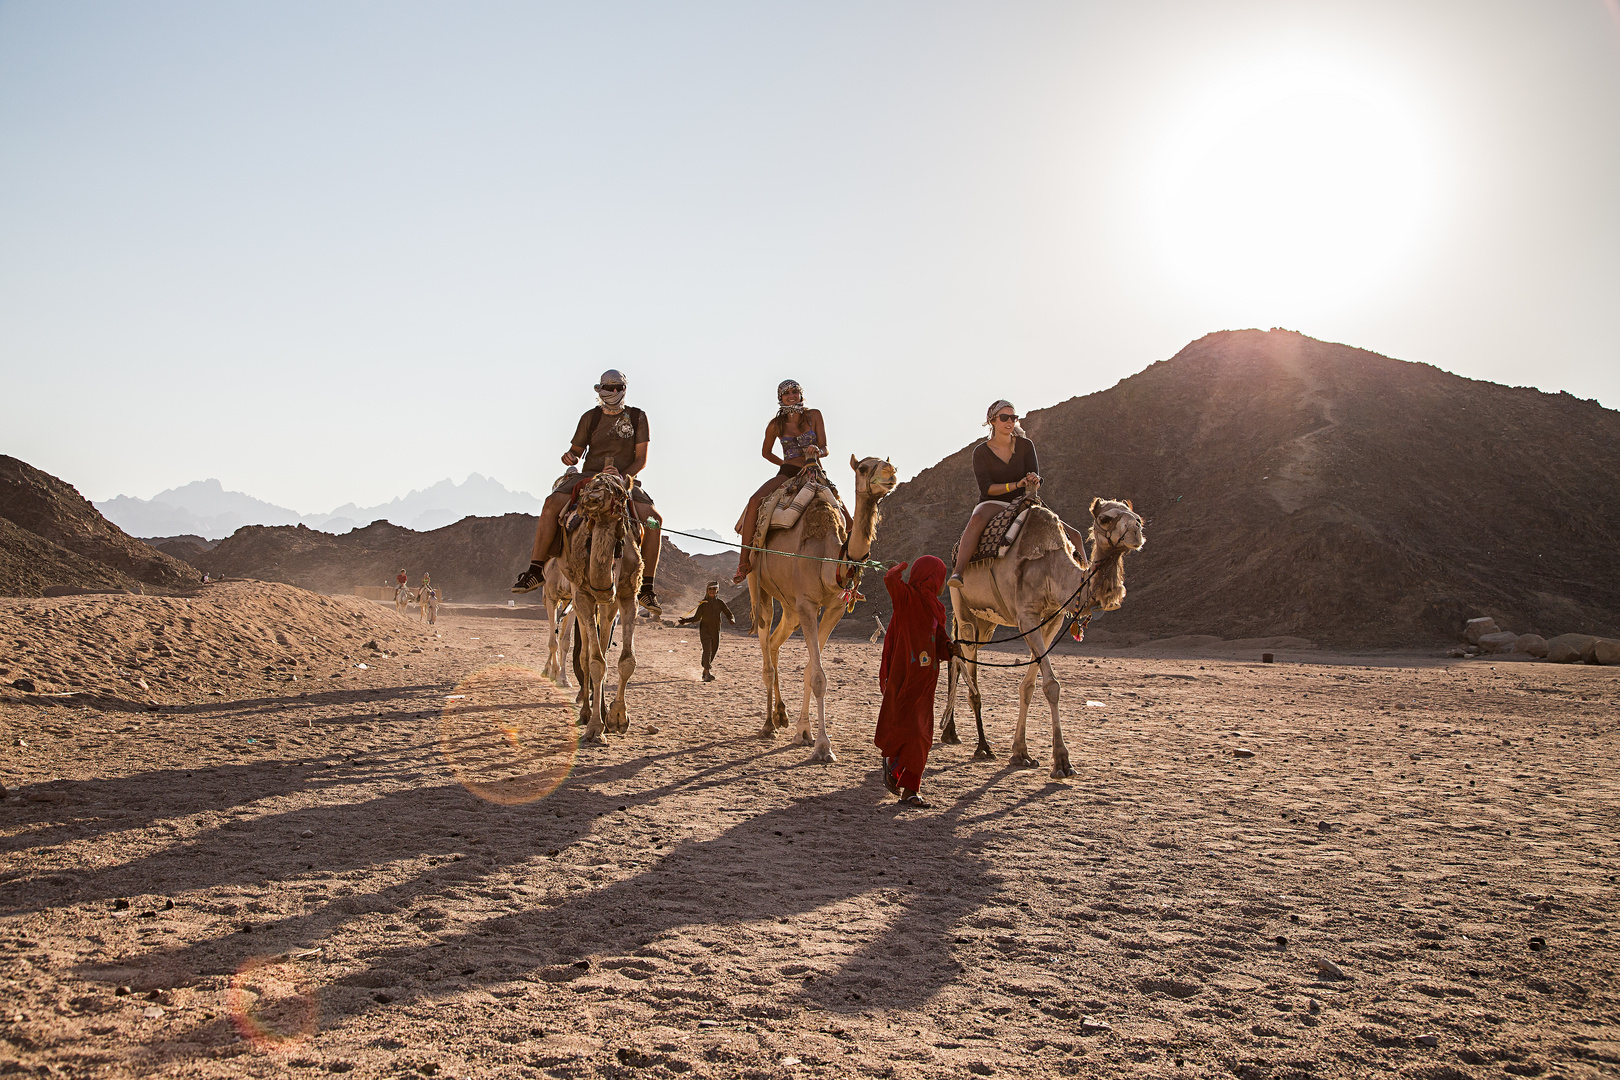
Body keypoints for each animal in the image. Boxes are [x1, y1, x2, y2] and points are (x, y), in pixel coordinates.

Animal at [541, 553, 579, 689]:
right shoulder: (551, 599)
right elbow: (553, 642)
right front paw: (555, 673)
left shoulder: (573, 602)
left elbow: (566, 641)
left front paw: (563, 678)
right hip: (546, 597)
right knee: (554, 634)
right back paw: (548, 671)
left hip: (566, 601)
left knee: (561, 635)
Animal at [560, 472, 641, 744]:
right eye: (589, 487)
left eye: (622, 494)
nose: (592, 499)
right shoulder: (583, 595)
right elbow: (595, 662)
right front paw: (595, 728)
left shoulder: (628, 596)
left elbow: (627, 660)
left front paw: (618, 718)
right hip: (578, 600)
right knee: (586, 656)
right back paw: (587, 713)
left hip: (608, 607)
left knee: (604, 641)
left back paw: (604, 711)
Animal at [745, 453, 900, 761]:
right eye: (863, 467)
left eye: (888, 462)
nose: (890, 473)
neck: (828, 560)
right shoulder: (807, 604)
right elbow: (817, 676)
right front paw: (823, 746)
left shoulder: (833, 608)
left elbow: (809, 670)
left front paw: (803, 732)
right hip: (760, 586)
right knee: (766, 643)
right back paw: (768, 725)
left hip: (790, 608)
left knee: (774, 642)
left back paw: (781, 715)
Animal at [946, 495, 1146, 780]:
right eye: (1105, 519)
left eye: (1137, 517)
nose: (1136, 532)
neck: (1052, 568)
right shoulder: (1026, 616)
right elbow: (1051, 685)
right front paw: (1062, 762)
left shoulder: (1053, 618)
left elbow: (1029, 686)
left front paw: (1020, 753)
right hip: (963, 609)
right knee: (966, 664)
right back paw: (981, 746)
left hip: (986, 623)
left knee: (956, 656)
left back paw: (950, 733)